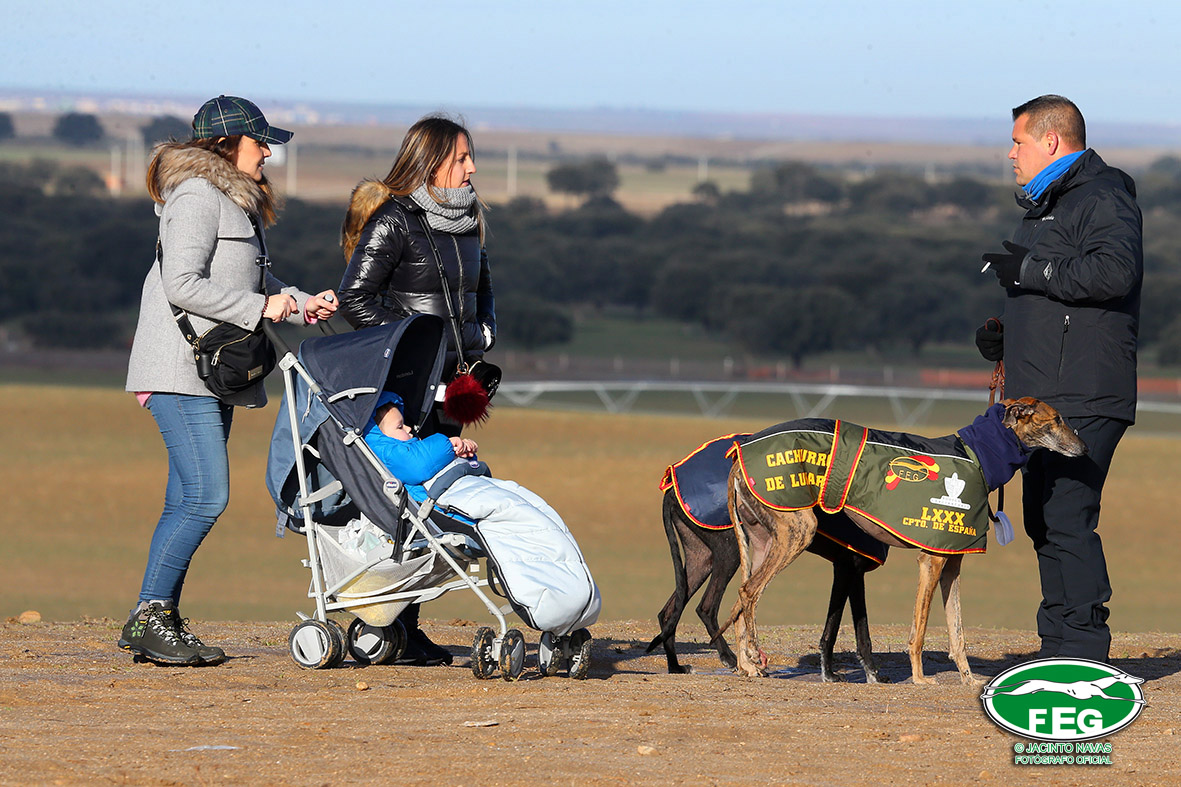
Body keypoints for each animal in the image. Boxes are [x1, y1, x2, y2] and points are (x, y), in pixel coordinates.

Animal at [647, 434, 888, 682]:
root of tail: (671, 487)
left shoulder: (853, 571)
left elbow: (858, 630)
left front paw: (870, 675)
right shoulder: (847, 568)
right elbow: (838, 628)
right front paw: (833, 674)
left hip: (701, 558)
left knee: (668, 612)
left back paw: (676, 666)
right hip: (730, 551)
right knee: (707, 607)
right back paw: (732, 659)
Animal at [720, 398, 1086, 685]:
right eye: (1056, 419)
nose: (1084, 449)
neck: (978, 455)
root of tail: (739, 455)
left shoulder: (952, 563)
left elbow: (957, 632)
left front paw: (968, 679)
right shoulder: (931, 560)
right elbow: (919, 629)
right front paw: (921, 678)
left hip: (760, 541)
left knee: (740, 599)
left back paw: (747, 667)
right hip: (799, 530)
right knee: (749, 593)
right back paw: (753, 656)